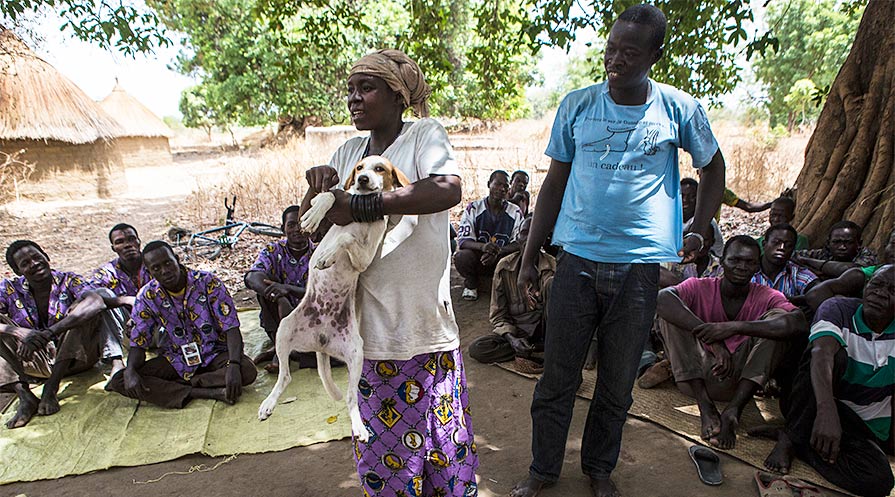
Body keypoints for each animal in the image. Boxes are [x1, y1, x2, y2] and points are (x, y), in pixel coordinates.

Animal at [260, 156, 412, 442]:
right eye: (360, 168)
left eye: (380, 169)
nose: (362, 180)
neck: (361, 215)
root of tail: (322, 342)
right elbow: (330, 196)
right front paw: (314, 213)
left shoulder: (364, 259)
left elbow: (347, 236)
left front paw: (327, 256)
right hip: (285, 328)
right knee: (285, 377)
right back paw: (268, 403)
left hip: (356, 353)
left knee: (351, 399)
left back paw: (359, 427)